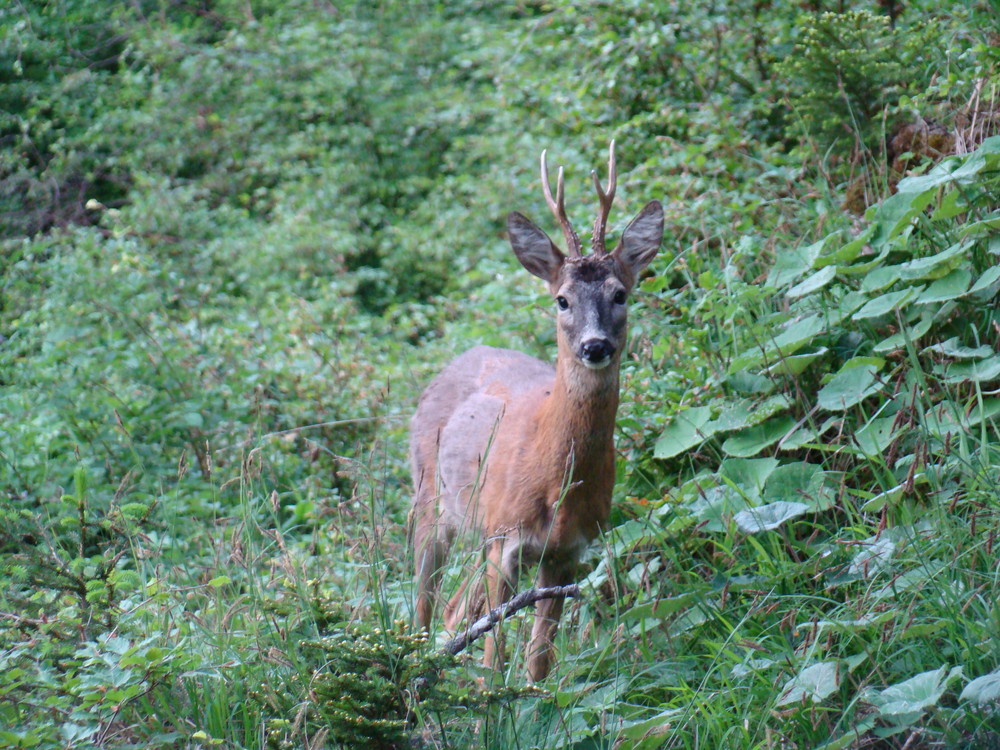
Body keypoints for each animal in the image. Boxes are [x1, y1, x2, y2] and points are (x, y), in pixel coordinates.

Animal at [408, 141, 664, 680]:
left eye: (620, 294)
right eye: (562, 300)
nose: (594, 346)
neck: (556, 481)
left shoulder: (566, 554)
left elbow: (539, 660)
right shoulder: (505, 539)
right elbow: (492, 655)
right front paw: (488, 698)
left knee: (454, 609)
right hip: (430, 497)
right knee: (424, 601)